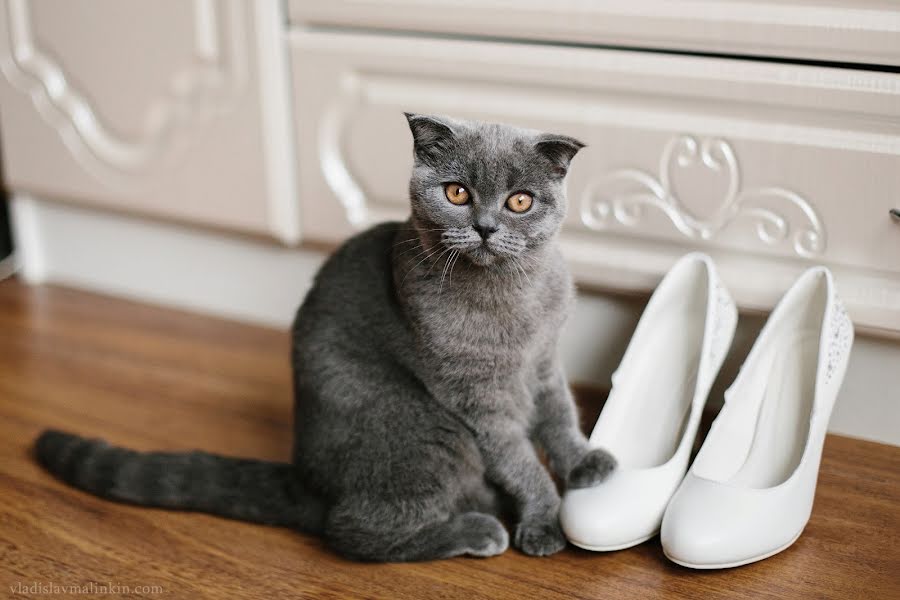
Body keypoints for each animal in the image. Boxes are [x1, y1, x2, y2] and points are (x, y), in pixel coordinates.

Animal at [33, 113, 612, 564]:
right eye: (457, 193)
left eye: (520, 201)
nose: (487, 227)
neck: (512, 297)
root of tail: (308, 481)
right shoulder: (476, 397)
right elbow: (519, 459)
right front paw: (544, 520)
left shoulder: (545, 360)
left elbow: (560, 417)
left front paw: (586, 465)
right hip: (424, 429)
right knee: (352, 530)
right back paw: (477, 528)